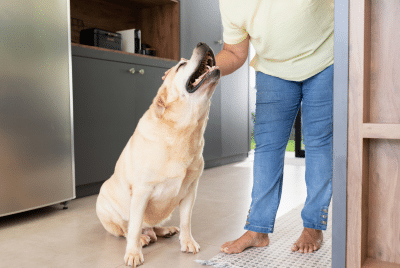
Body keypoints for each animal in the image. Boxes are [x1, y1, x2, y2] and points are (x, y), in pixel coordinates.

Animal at [97, 42, 222, 266]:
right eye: (181, 65)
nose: (202, 43)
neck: (183, 131)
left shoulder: (190, 191)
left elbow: (186, 220)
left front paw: (187, 241)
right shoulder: (141, 192)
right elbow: (134, 227)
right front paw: (133, 253)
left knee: (153, 225)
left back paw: (165, 230)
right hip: (105, 205)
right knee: (127, 229)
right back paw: (143, 239)